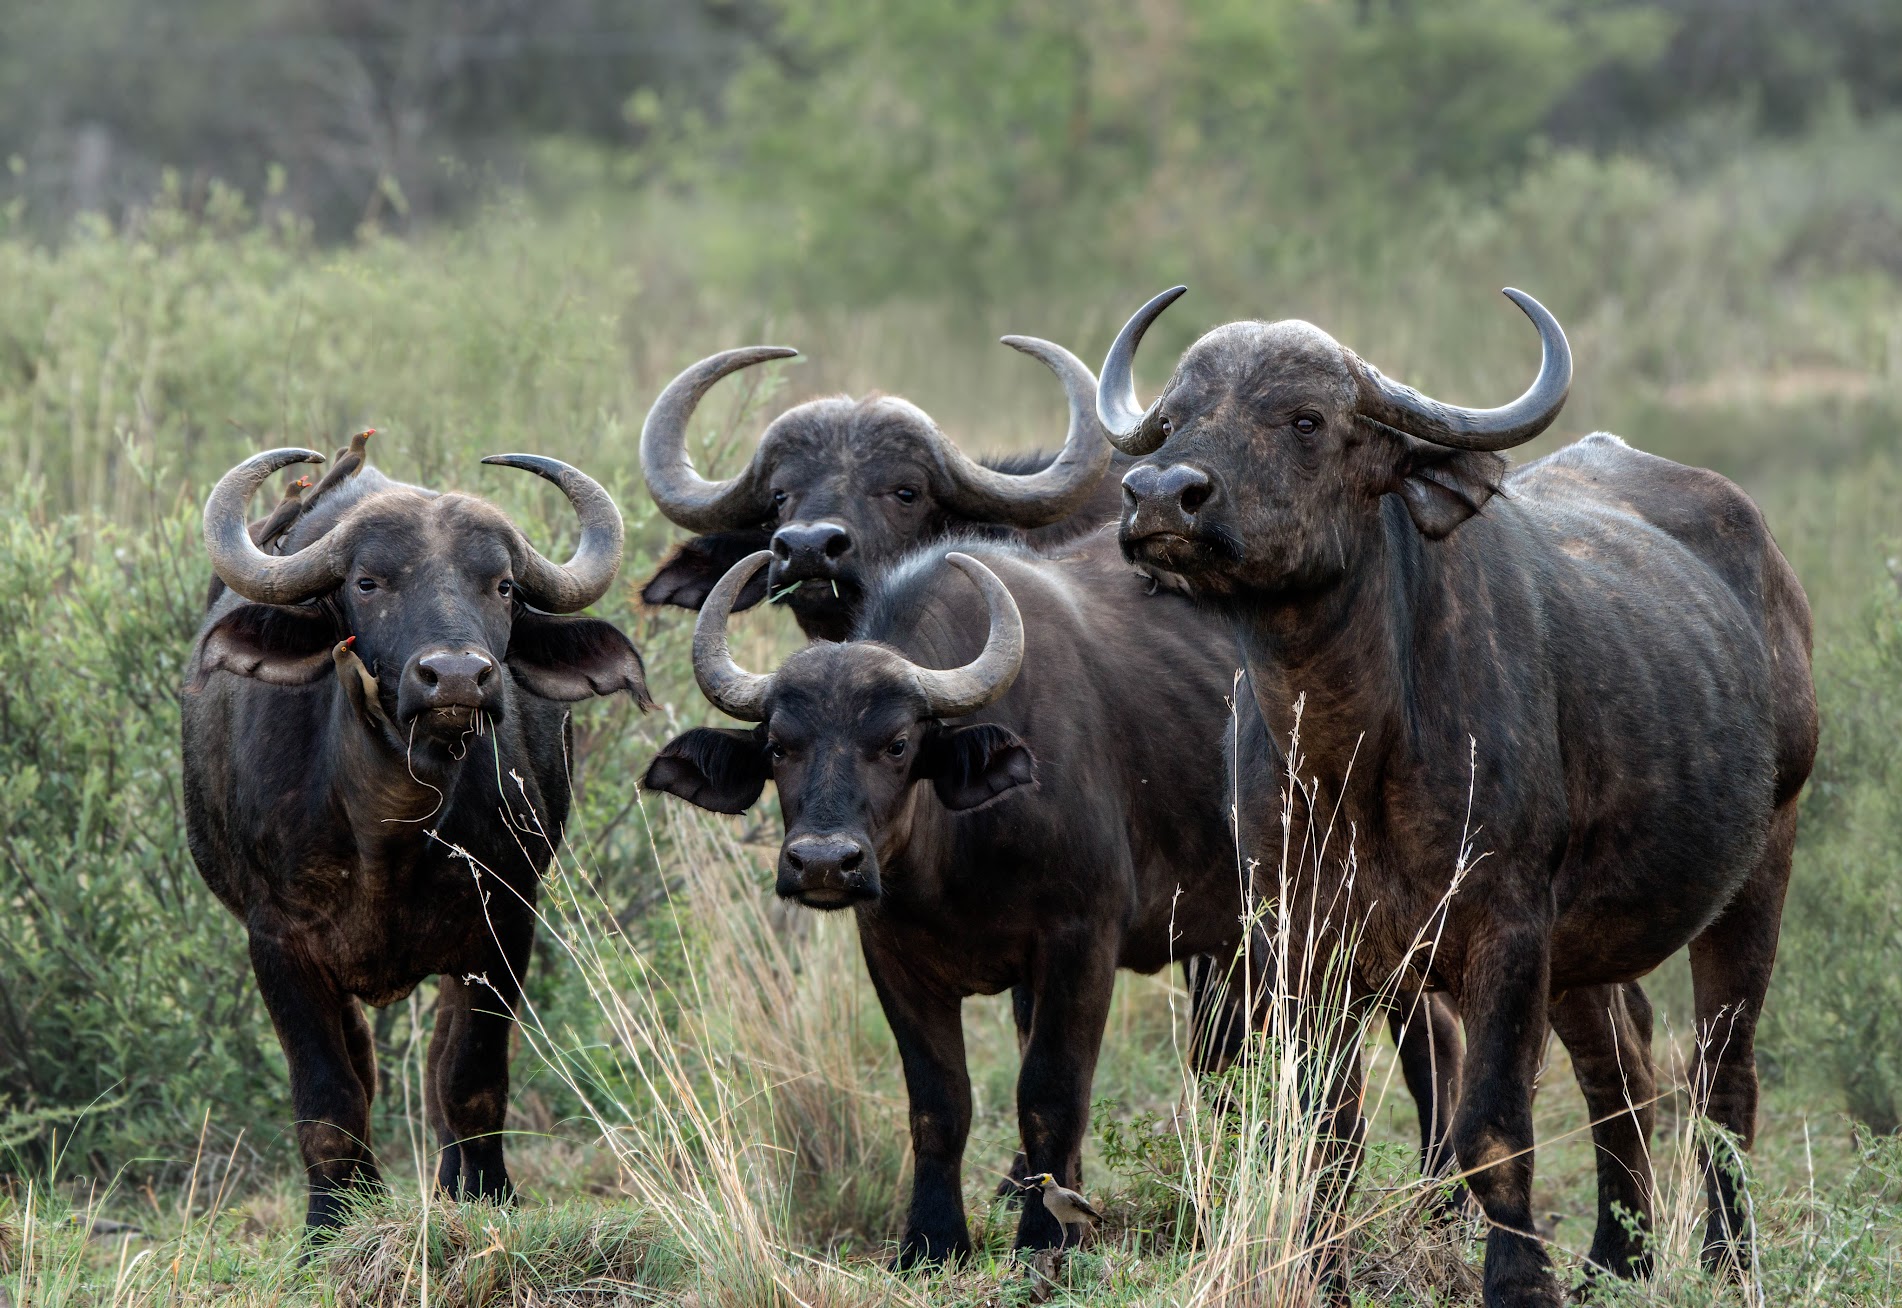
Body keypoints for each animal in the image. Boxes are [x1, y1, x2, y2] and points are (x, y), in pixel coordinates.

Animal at [181, 445, 649, 1232]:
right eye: (367, 582)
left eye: (502, 585)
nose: (456, 677)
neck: (388, 827)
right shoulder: (277, 940)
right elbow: (329, 1096)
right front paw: (328, 1227)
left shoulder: (505, 921)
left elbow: (470, 1079)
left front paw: (489, 1198)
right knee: (364, 1068)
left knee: (436, 1064)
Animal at [641, 532, 1258, 1263]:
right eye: (778, 746)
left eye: (898, 744)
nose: (823, 863)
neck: (956, 860)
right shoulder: (894, 959)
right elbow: (939, 1103)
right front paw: (932, 1240)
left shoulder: (1082, 941)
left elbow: (1050, 1092)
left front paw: (1047, 1234)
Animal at [1097, 285, 1817, 1305]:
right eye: (1178, 415)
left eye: (1306, 419)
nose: (1160, 494)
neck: (1352, 752)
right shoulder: (1297, 938)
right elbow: (1326, 1132)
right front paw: (1325, 1272)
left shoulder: (1506, 929)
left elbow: (1492, 1134)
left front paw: (1517, 1281)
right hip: (1586, 946)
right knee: (1622, 1070)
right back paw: (1616, 1259)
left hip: (1761, 866)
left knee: (1723, 1071)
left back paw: (1726, 1262)